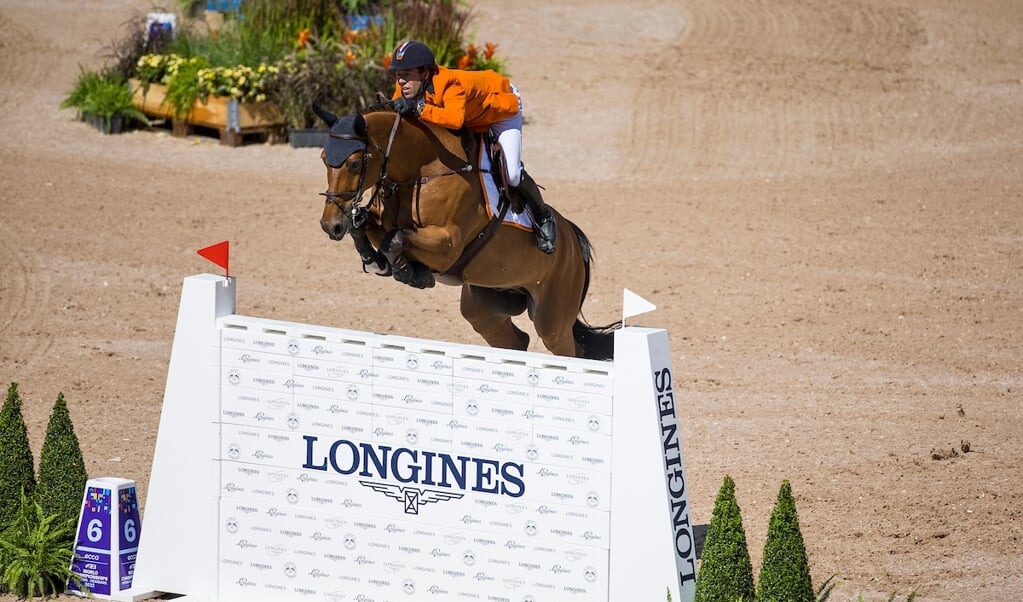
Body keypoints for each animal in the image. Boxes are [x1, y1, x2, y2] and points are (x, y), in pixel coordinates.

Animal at [310, 103, 613, 360]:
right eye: (324, 158)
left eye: (354, 164)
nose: (329, 225)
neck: (423, 170)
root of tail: (573, 241)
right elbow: (366, 227)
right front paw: (375, 260)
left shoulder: (447, 245)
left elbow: (394, 239)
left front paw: (410, 273)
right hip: (485, 306)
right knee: (517, 341)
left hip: (552, 319)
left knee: (567, 349)